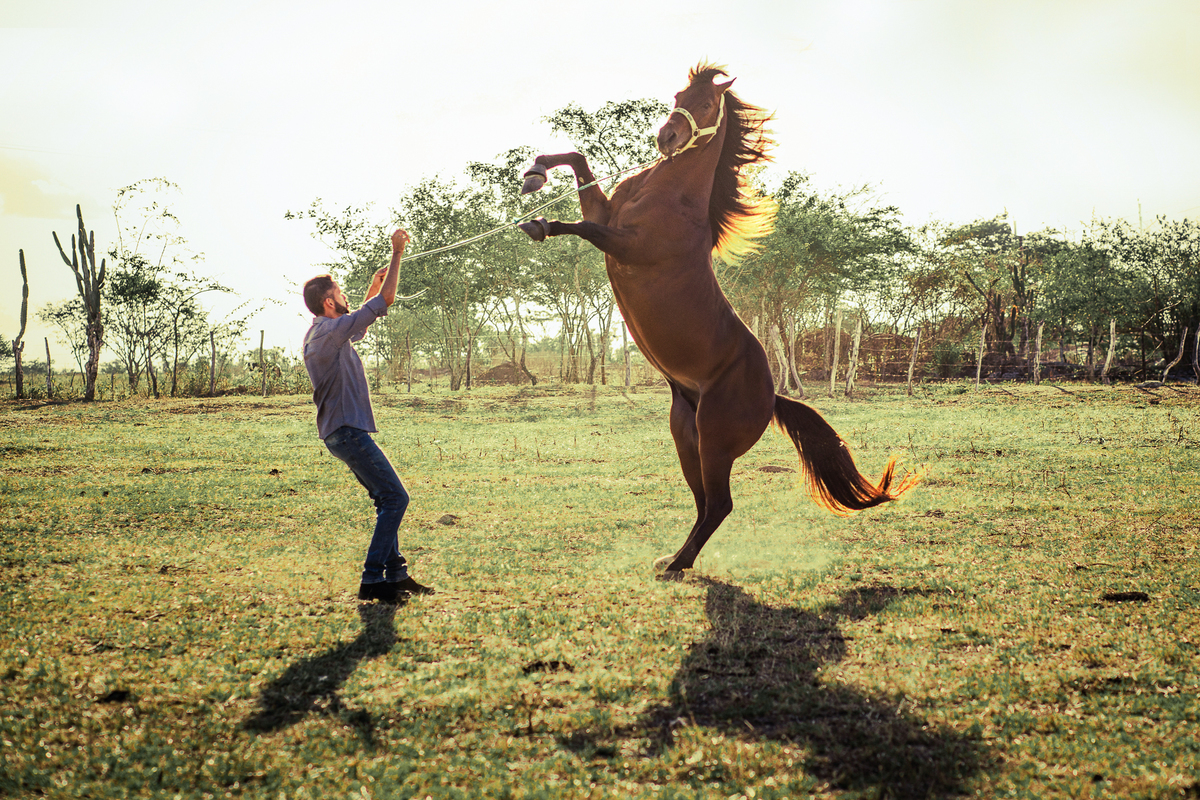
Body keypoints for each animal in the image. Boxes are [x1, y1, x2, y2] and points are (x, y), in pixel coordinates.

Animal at [518, 63, 916, 575]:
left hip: (715, 439)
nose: (666, 137)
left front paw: (539, 224)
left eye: (708, 104)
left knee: (720, 504)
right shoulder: (608, 214)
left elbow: (583, 225)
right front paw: (534, 174)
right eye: (678, 94)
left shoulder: (629, 244)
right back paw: (675, 558)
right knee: (705, 502)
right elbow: (580, 159)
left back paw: (676, 564)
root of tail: (771, 396)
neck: (669, 194)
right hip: (686, 434)